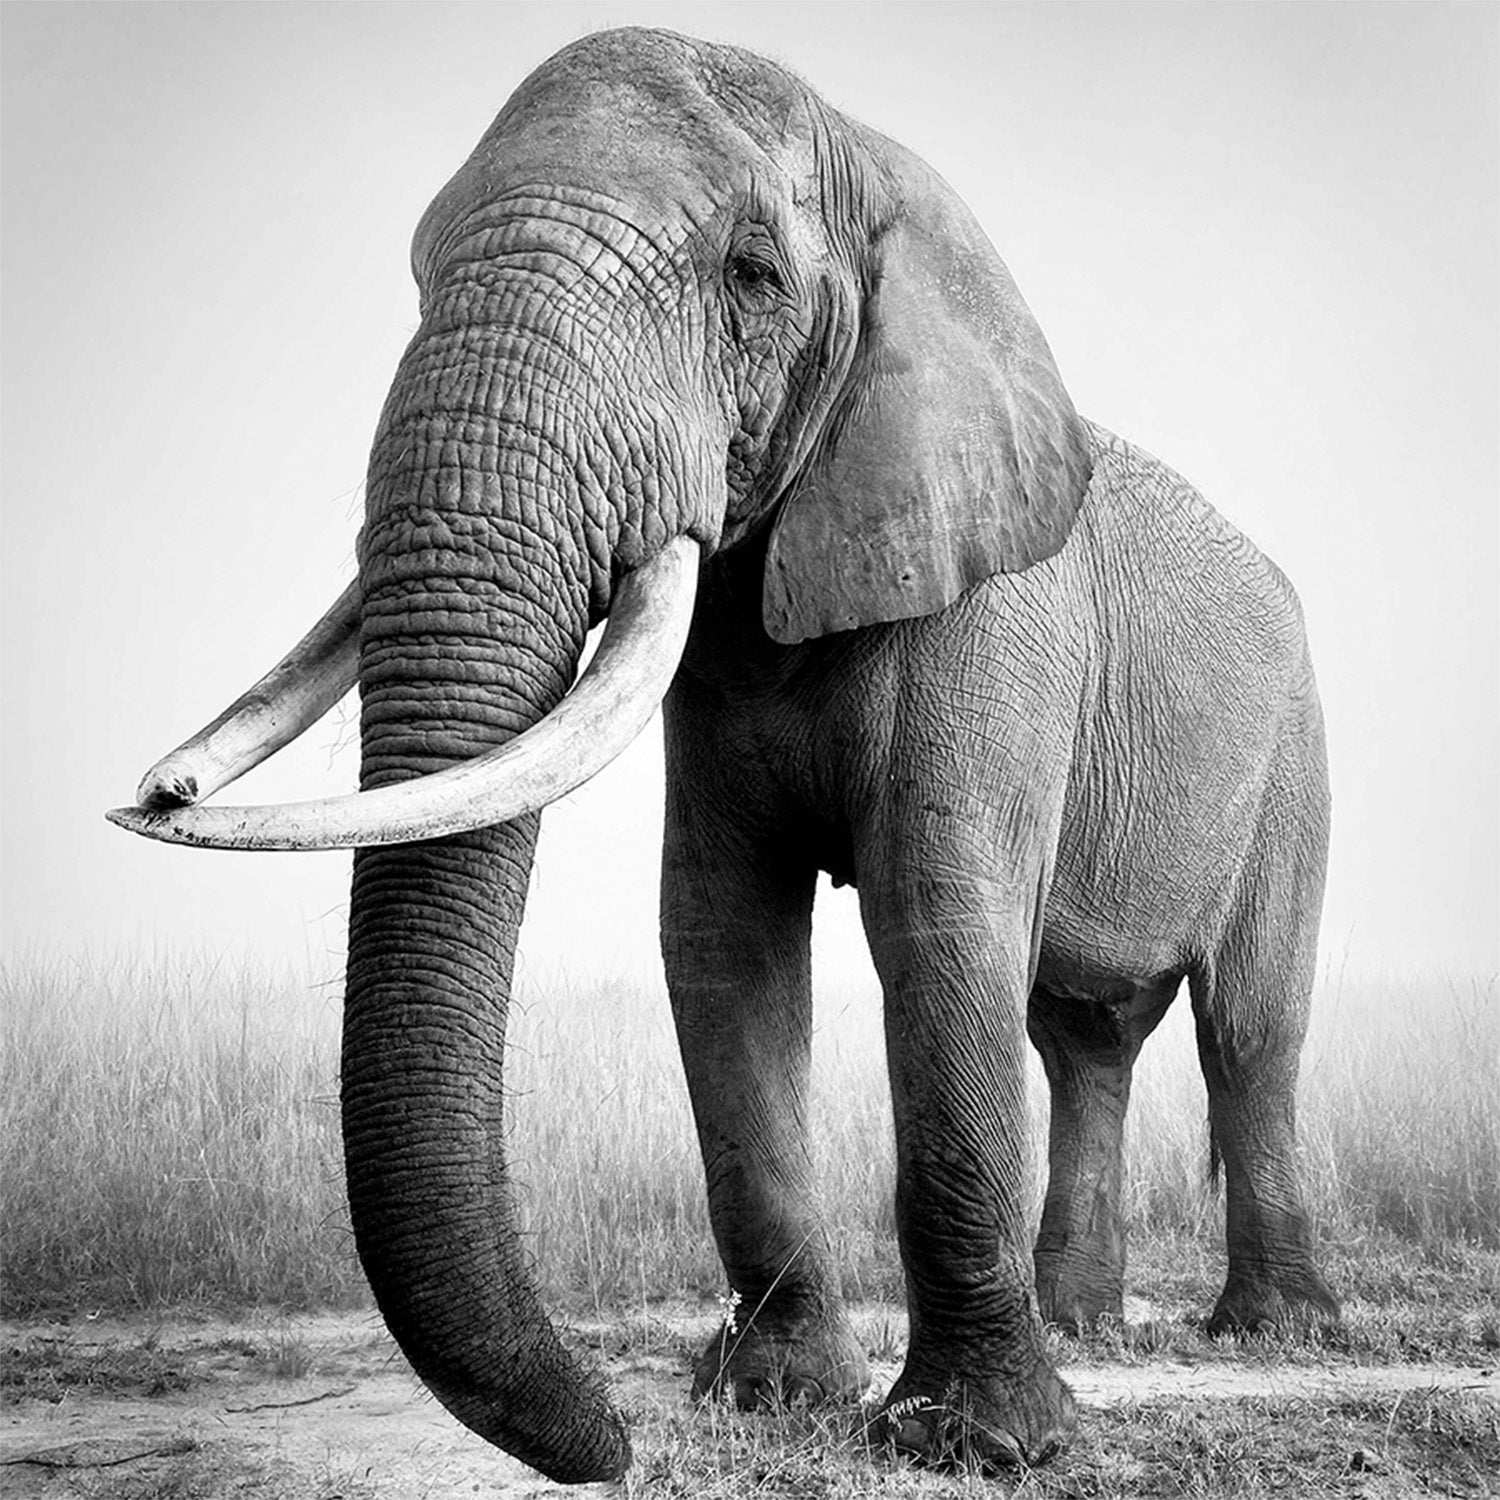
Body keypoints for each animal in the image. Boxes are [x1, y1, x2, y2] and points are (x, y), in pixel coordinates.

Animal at [109, 27, 1340, 1484]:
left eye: (753, 277)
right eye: (415, 274)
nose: (611, 1442)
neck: (881, 165)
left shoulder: (992, 612)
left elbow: (940, 924)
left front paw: (979, 1445)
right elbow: (722, 940)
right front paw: (775, 1401)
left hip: (1297, 753)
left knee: (1247, 1027)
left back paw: (1270, 1335)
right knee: (1083, 1034)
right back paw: (1086, 1325)